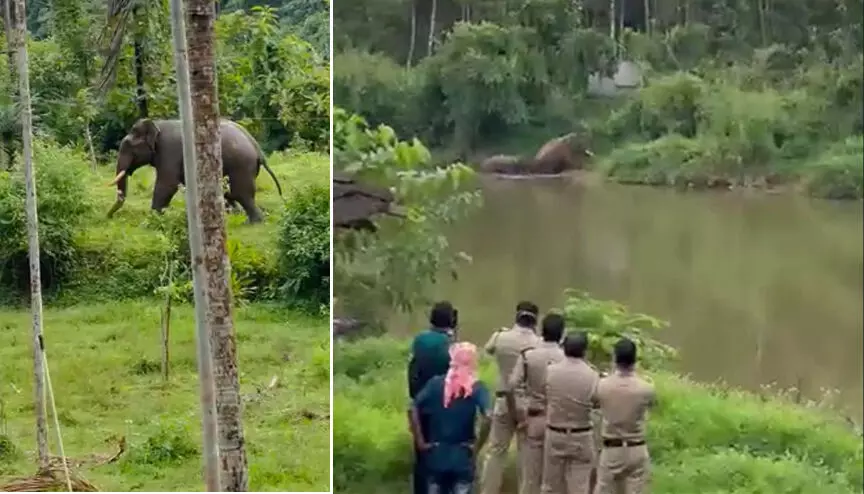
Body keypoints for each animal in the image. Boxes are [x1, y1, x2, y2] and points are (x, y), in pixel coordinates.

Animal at [105, 117, 284, 222]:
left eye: (128, 146)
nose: (109, 217)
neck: (157, 124)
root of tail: (257, 149)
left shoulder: (169, 151)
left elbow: (167, 184)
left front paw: (154, 217)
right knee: (233, 194)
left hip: (241, 166)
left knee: (241, 194)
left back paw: (254, 222)